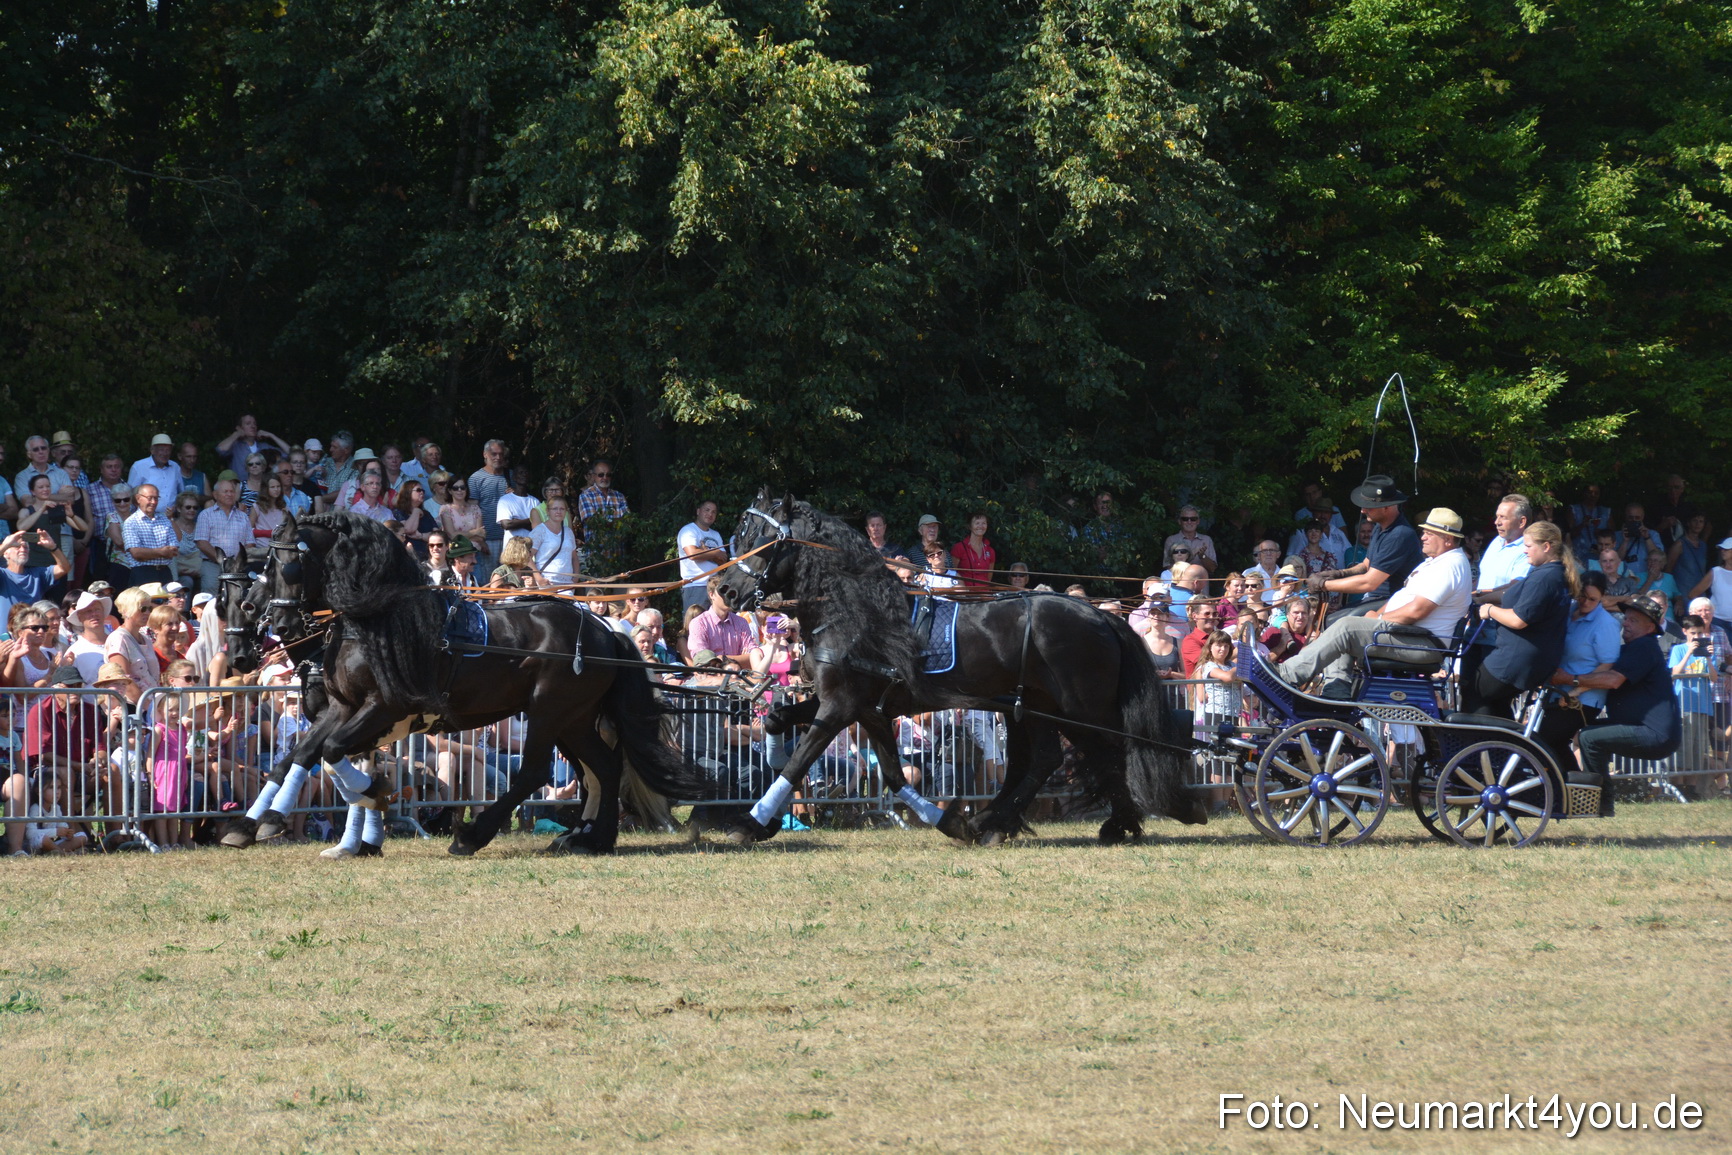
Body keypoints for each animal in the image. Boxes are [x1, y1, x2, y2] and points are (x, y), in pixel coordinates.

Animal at [220, 511, 706, 857]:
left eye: (290, 566)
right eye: (265, 571)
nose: (277, 624)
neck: (377, 620)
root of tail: (605, 631)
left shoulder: (386, 709)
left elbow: (334, 753)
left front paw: (372, 800)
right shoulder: (343, 708)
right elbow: (302, 756)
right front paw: (258, 823)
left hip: (550, 709)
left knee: (539, 771)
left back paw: (475, 835)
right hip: (574, 717)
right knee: (602, 767)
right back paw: (590, 838)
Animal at [710, 490, 1206, 845]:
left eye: (763, 542)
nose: (727, 592)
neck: (857, 612)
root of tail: (1102, 616)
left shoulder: (842, 706)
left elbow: (800, 760)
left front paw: (750, 823)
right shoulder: (865, 707)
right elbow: (877, 768)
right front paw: (949, 820)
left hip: (1079, 710)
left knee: (1103, 753)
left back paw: (1114, 823)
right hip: (1033, 707)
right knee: (1045, 758)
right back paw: (997, 821)